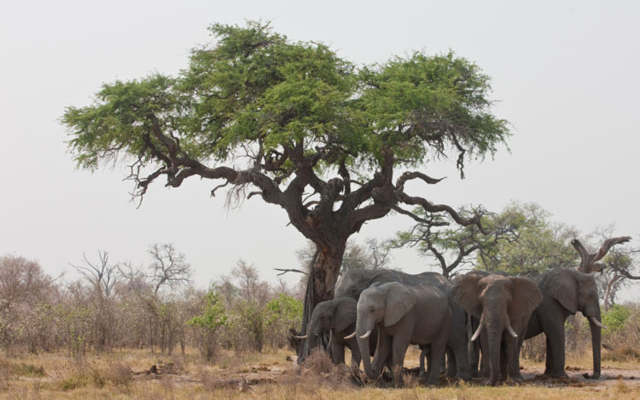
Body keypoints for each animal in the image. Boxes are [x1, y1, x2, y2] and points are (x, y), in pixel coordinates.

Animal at [335, 268, 471, 380]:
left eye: (354, 290)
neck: (370, 272)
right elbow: (383, 344)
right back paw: (440, 376)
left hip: (455, 310)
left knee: (456, 342)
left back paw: (459, 378)